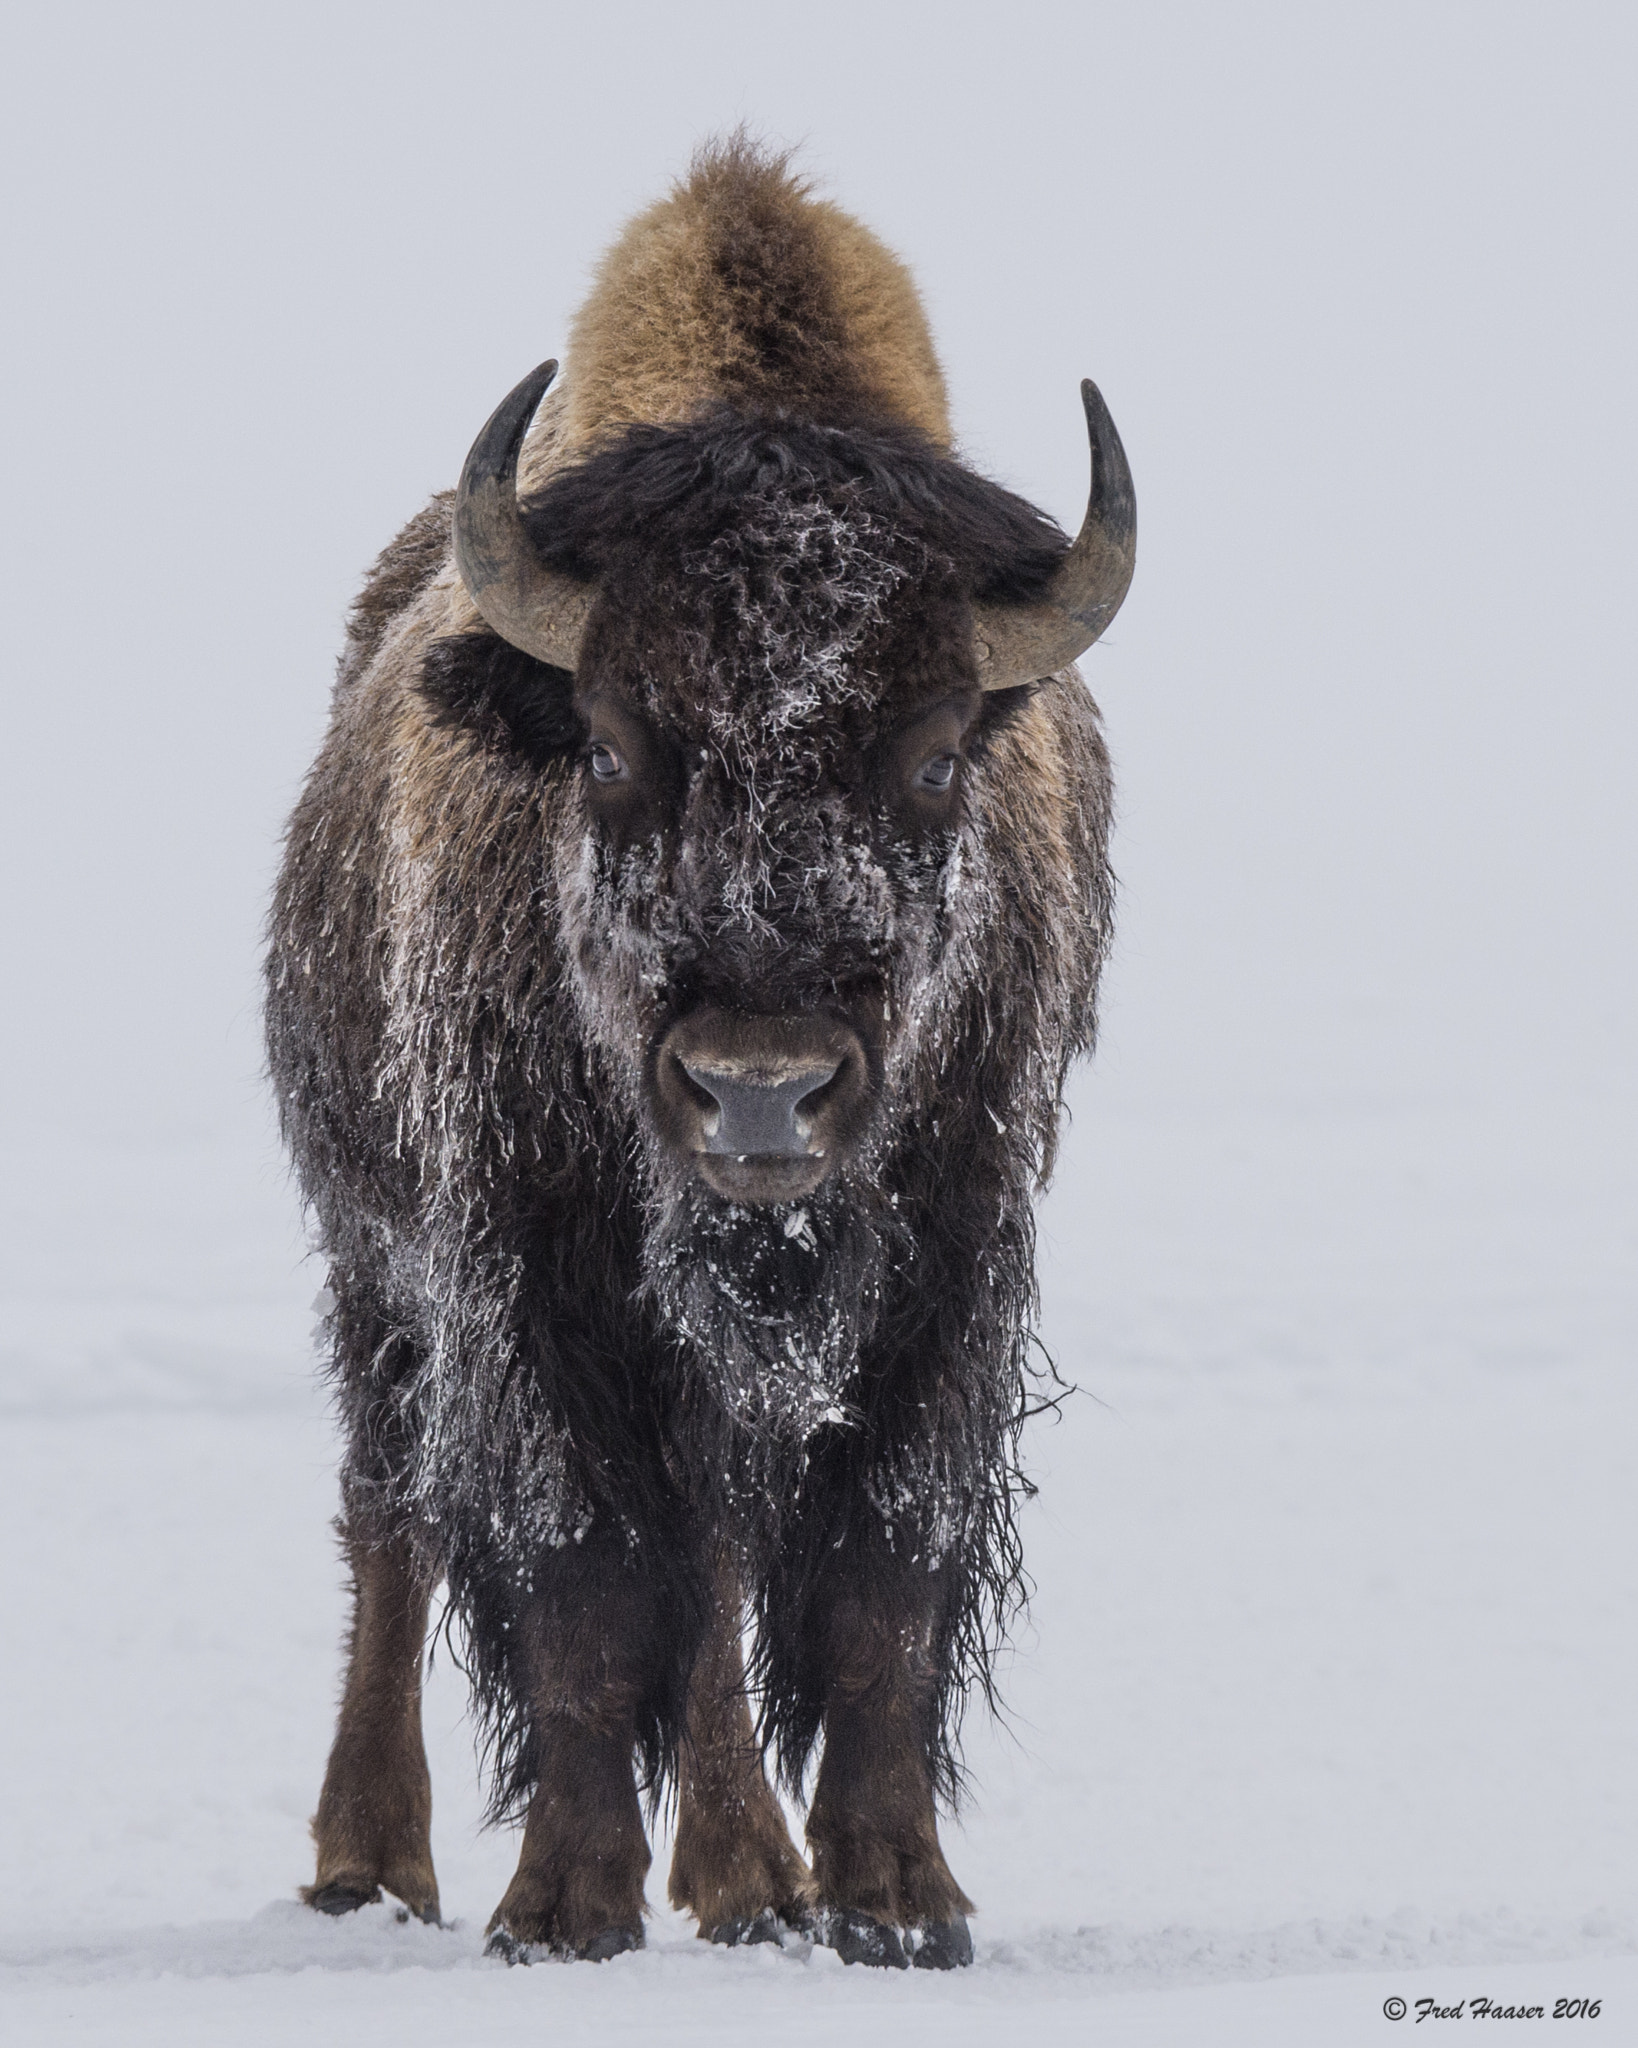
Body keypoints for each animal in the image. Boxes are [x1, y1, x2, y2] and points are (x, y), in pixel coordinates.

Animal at [266, 138, 1132, 1970]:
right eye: (605, 741)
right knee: (391, 1515)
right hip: (375, 1258)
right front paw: (561, 1909)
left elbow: (876, 1567)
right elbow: (586, 1570)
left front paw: (897, 1903)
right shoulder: (532, 1267)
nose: (757, 1086)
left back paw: (750, 1879)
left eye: (934, 754)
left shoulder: (951, 1268)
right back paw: (371, 1861)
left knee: (724, 1564)